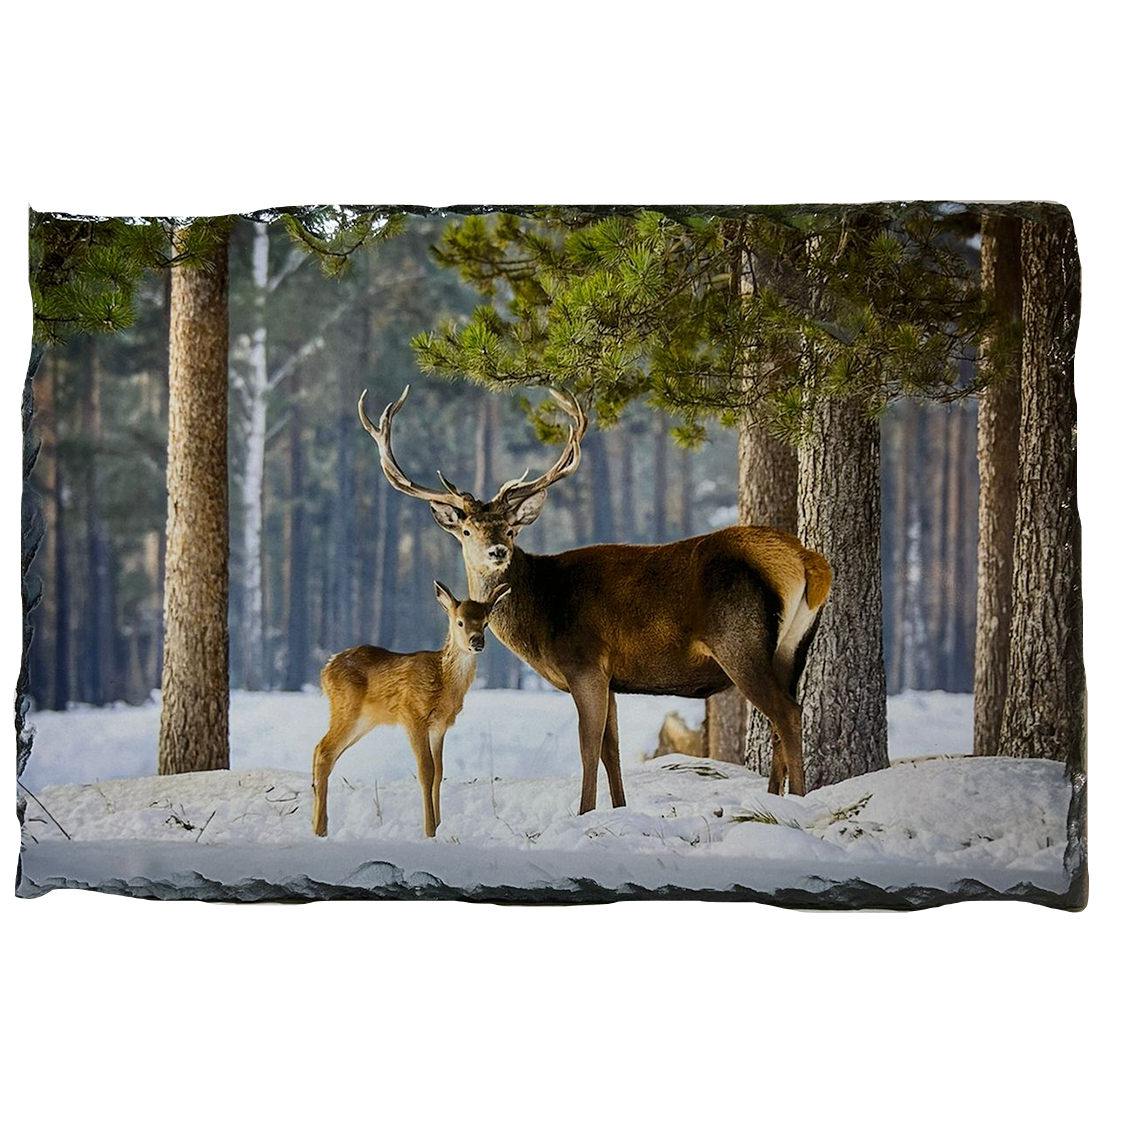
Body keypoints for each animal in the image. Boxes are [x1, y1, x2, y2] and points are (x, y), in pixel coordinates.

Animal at [311, 579, 511, 838]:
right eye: (460, 622)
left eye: (486, 623)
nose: (477, 641)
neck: (443, 681)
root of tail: (325, 670)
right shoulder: (412, 714)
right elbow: (426, 771)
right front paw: (429, 830)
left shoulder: (439, 726)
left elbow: (439, 772)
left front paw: (439, 825)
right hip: (346, 708)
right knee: (324, 751)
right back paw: (320, 829)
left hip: (363, 721)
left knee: (322, 751)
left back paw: (317, 822)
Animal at [358, 384, 832, 812]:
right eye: (468, 530)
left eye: (510, 529)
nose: (497, 551)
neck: (541, 619)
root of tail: (807, 561)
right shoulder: (611, 676)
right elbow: (611, 751)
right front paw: (619, 809)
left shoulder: (585, 663)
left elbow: (587, 748)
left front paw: (583, 813)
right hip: (791, 648)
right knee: (781, 717)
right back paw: (774, 799)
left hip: (739, 641)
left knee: (787, 713)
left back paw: (799, 802)